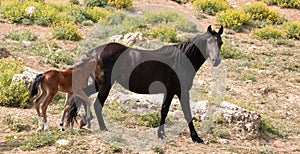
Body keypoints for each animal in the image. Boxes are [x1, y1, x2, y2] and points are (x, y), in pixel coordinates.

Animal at [68, 25, 223, 143]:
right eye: (209, 41)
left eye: (220, 42)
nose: (216, 61)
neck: (181, 60)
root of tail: (94, 53)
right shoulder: (182, 92)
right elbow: (187, 113)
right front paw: (196, 137)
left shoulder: (169, 91)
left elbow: (164, 111)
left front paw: (161, 134)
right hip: (105, 85)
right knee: (97, 105)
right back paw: (103, 128)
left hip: (98, 84)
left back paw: (81, 121)